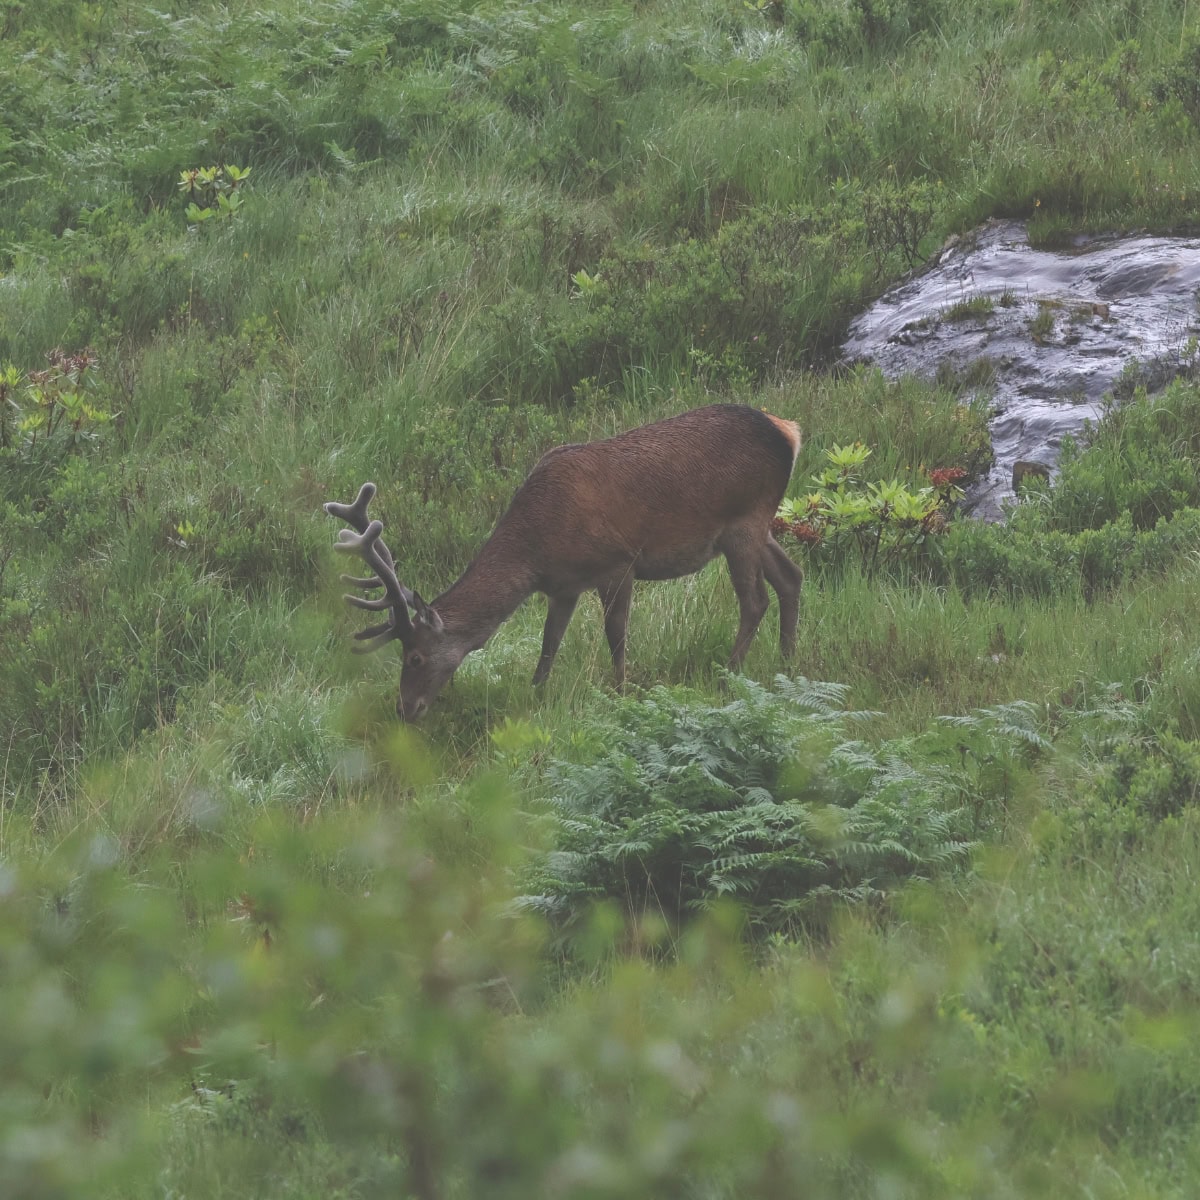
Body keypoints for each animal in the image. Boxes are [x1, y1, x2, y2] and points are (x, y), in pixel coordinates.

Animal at [325, 403, 803, 721]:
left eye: (415, 658)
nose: (405, 709)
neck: (538, 549)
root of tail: (789, 431)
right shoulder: (564, 587)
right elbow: (548, 645)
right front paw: (535, 696)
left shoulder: (618, 562)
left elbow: (616, 636)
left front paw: (620, 693)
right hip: (756, 526)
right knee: (792, 577)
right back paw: (786, 663)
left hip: (744, 520)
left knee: (755, 599)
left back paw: (731, 673)